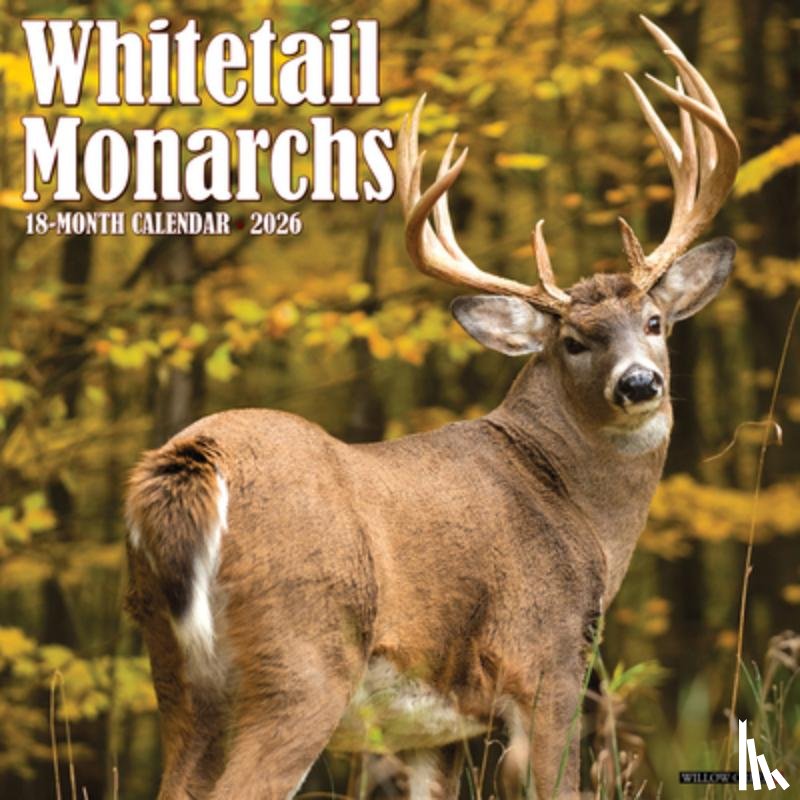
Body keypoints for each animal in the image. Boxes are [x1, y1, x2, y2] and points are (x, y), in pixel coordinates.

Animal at [124, 16, 740, 800]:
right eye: (574, 341)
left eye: (656, 322)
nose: (638, 383)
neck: (579, 509)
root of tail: (193, 465)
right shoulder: (550, 659)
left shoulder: (433, 730)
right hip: (303, 654)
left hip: (174, 674)